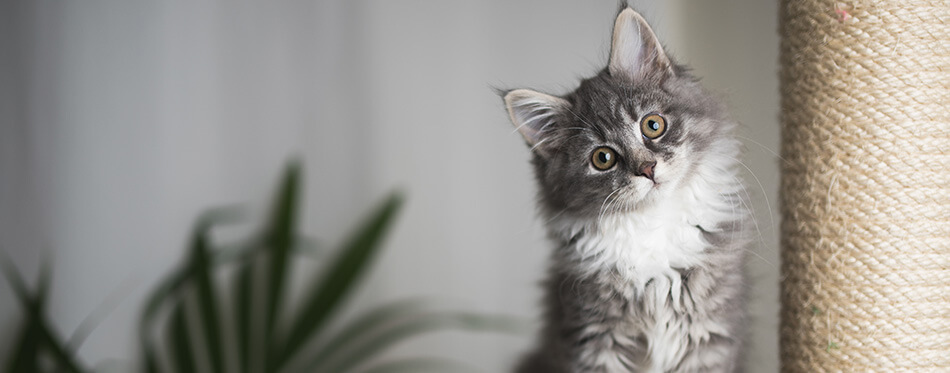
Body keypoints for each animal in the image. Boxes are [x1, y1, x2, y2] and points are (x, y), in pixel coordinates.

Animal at [502, 5, 756, 372]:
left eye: (653, 125)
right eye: (603, 158)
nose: (647, 169)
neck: (652, 225)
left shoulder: (710, 333)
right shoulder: (593, 337)